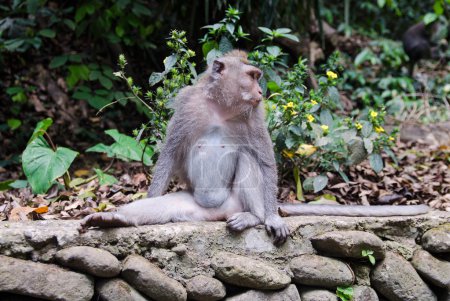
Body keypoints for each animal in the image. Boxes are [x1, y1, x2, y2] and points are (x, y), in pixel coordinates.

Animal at [80, 50, 428, 245]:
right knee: (162, 209)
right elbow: (169, 153)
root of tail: (220, 213)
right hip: (194, 207)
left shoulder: (255, 115)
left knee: (249, 163)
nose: (261, 90)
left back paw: (255, 218)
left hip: (242, 201)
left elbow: (265, 162)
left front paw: (272, 218)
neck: (221, 107)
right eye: (251, 75)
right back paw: (113, 220)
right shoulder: (187, 103)